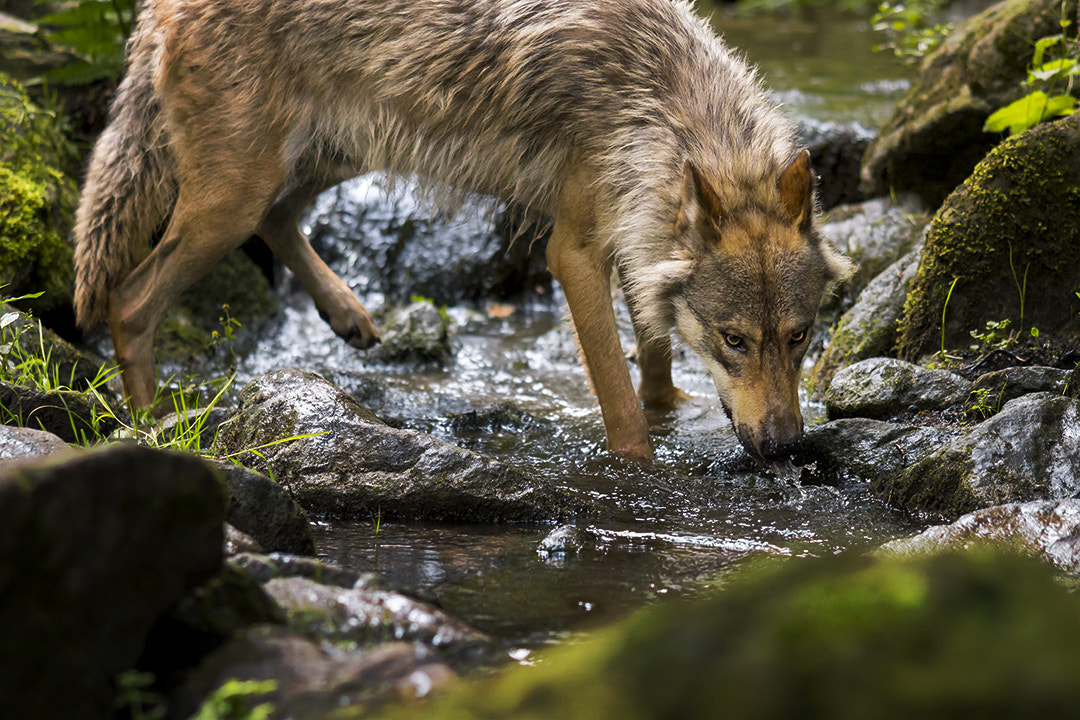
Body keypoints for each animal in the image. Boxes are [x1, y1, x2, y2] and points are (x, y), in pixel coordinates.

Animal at [73, 0, 851, 462]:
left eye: (800, 337)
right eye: (734, 340)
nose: (786, 448)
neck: (658, 103)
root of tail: (160, 7)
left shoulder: (636, 234)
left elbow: (654, 347)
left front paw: (670, 406)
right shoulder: (572, 253)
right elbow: (621, 405)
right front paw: (640, 468)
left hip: (337, 155)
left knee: (278, 219)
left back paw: (349, 315)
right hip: (230, 199)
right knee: (130, 300)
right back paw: (152, 429)